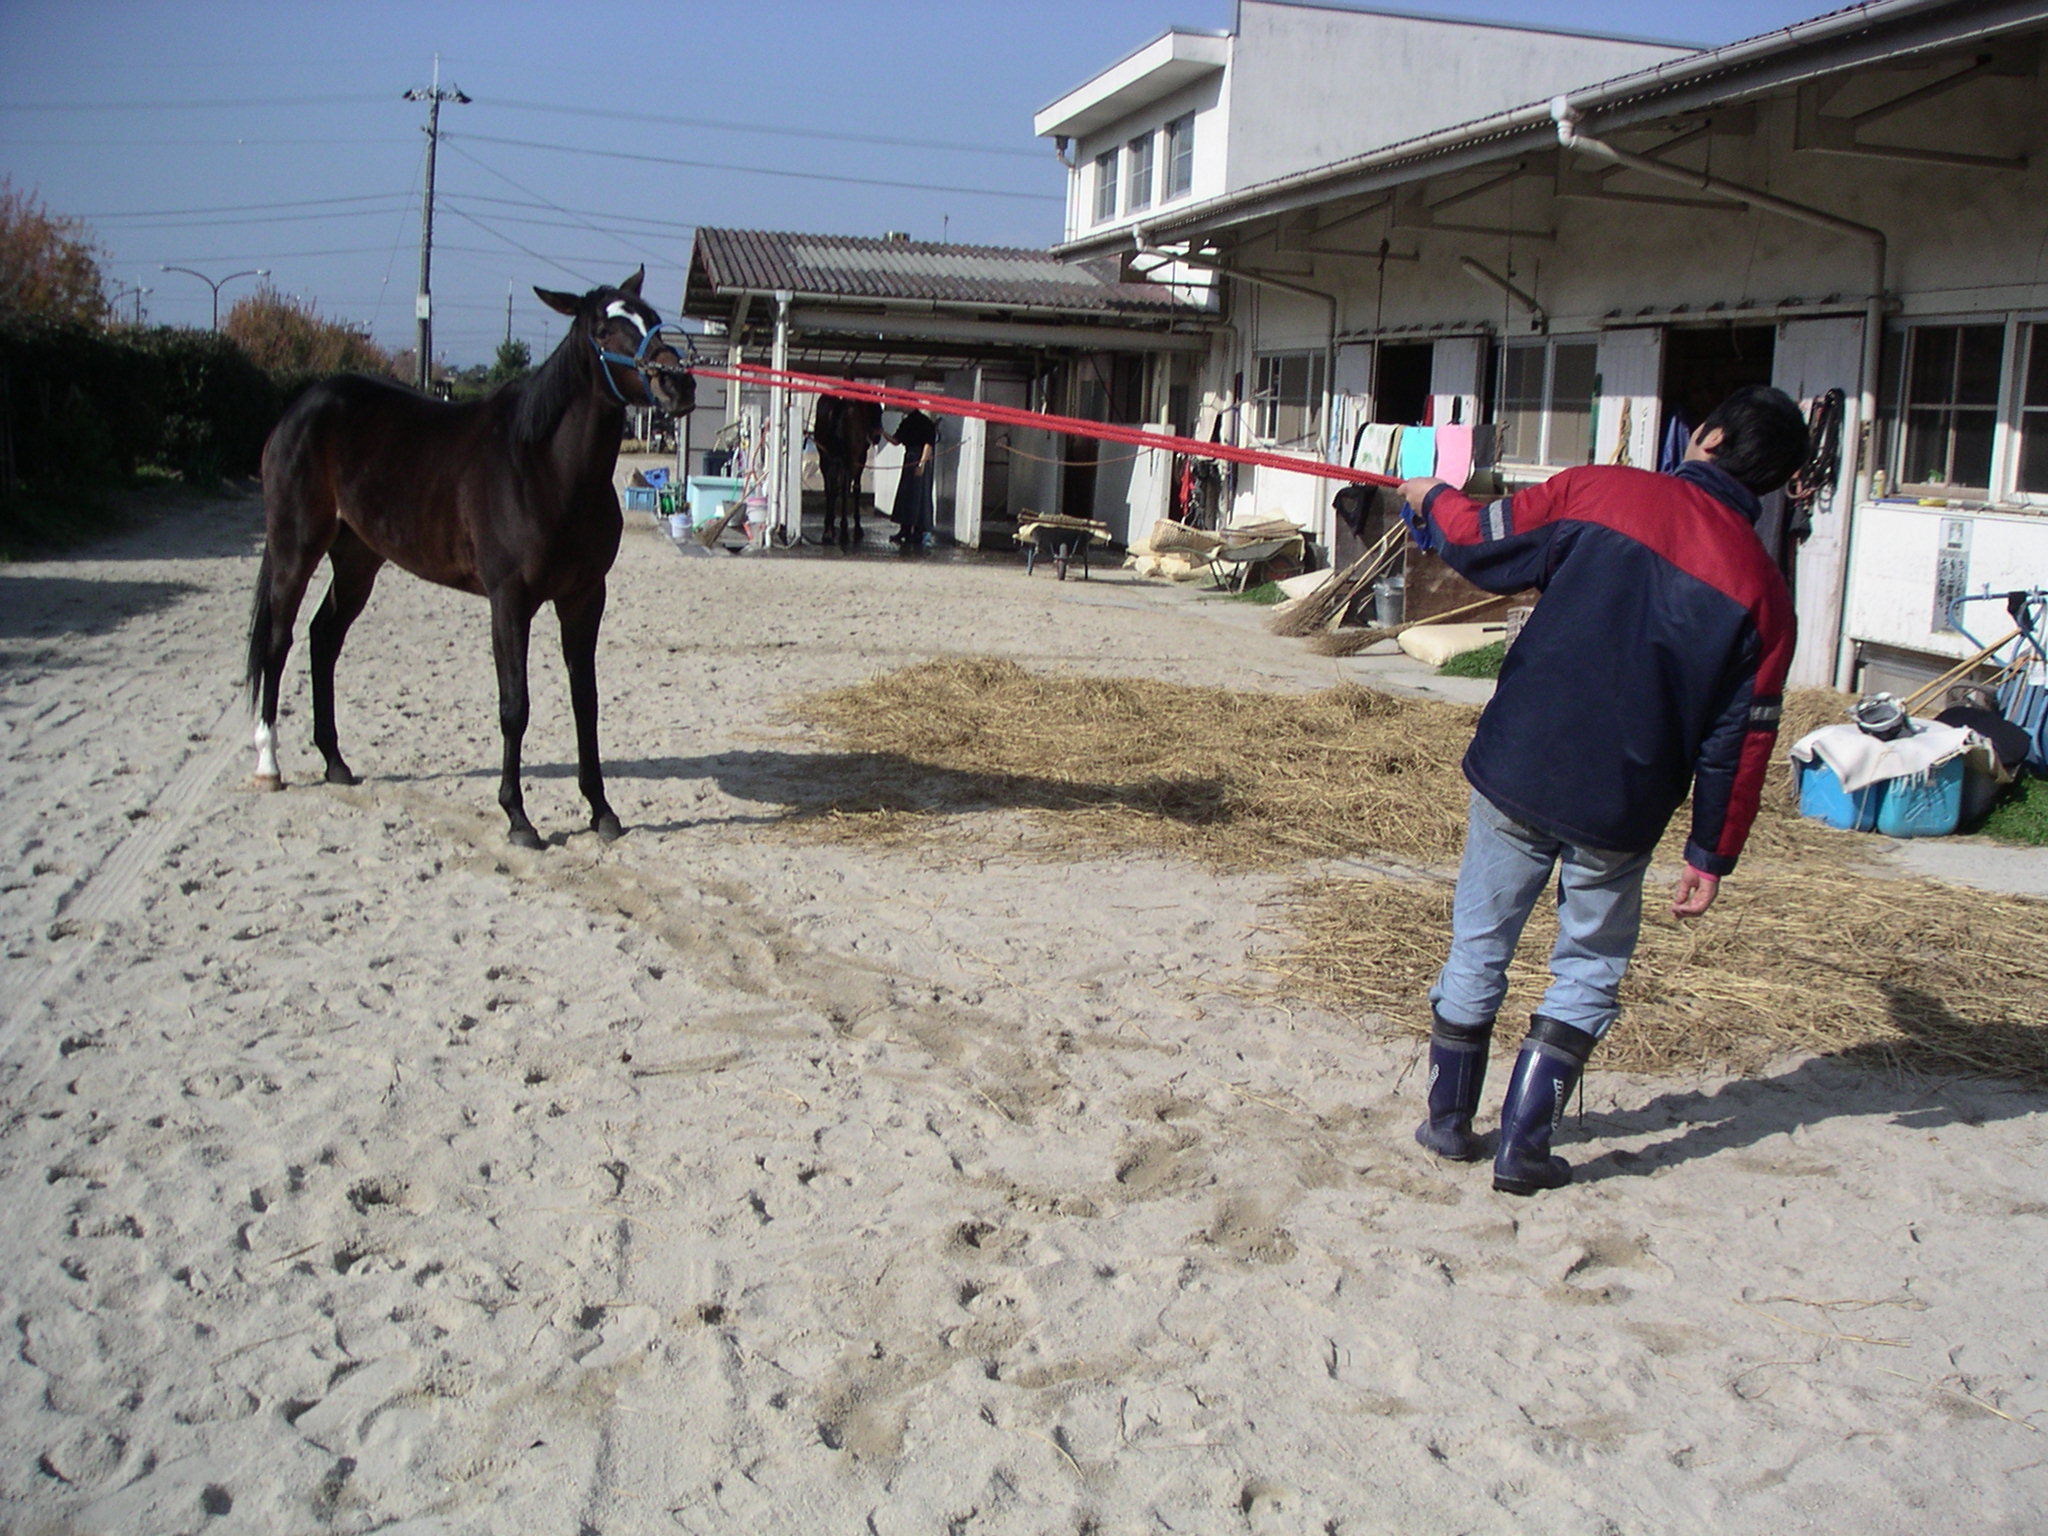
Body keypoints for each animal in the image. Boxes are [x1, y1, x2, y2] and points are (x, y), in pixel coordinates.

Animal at [244, 267, 696, 849]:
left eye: (653, 318)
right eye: (601, 330)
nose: (677, 385)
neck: (544, 467)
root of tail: (300, 409)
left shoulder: (584, 597)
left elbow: (586, 701)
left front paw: (601, 810)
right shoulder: (509, 600)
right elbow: (514, 706)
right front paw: (519, 818)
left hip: (358, 559)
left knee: (324, 637)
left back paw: (335, 762)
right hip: (295, 546)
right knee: (278, 641)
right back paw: (268, 765)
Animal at [811, 393, 882, 550]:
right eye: (880, 411)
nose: (877, 437)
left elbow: (834, 489)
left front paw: (831, 526)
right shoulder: (859, 458)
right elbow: (855, 488)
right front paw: (856, 527)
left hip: (825, 458)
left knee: (830, 489)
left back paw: (828, 531)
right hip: (848, 459)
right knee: (844, 490)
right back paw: (843, 531)